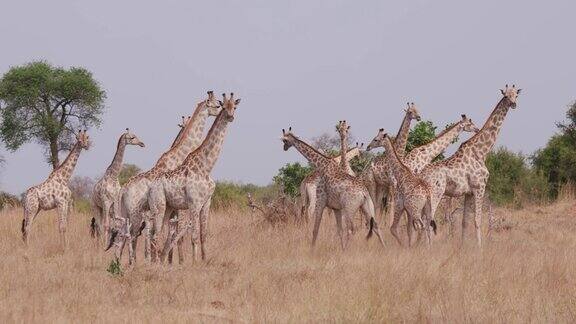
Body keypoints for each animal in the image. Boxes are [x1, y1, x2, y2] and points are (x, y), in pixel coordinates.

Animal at [106, 90, 220, 262]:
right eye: (217, 104)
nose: (223, 110)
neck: (179, 155)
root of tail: (123, 190)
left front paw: (167, 260)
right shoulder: (180, 205)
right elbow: (175, 234)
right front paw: (174, 261)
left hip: (126, 213)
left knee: (121, 236)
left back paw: (120, 262)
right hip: (135, 212)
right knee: (131, 235)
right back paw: (133, 262)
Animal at [143, 92, 241, 262]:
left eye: (234, 107)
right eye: (222, 106)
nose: (230, 116)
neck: (205, 167)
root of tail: (150, 187)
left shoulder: (207, 202)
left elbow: (203, 235)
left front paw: (204, 260)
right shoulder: (194, 203)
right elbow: (193, 236)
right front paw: (193, 263)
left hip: (168, 208)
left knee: (156, 234)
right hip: (158, 206)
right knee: (153, 235)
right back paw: (155, 263)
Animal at [366, 115, 480, 244]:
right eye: (469, 124)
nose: (477, 129)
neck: (426, 154)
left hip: (382, 187)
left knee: (378, 207)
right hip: (377, 185)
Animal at [418, 85, 520, 247]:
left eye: (516, 94)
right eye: (505, 95)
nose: (514, 104)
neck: (481, 152)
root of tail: (421, 176)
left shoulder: (468, 193)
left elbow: (464, 222)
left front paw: (462, 247)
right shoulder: (479, 187)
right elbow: (477, 220)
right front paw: (479, 248)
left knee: (422, 219)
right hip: (436, 193)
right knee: (428, 219)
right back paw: (429, 247)